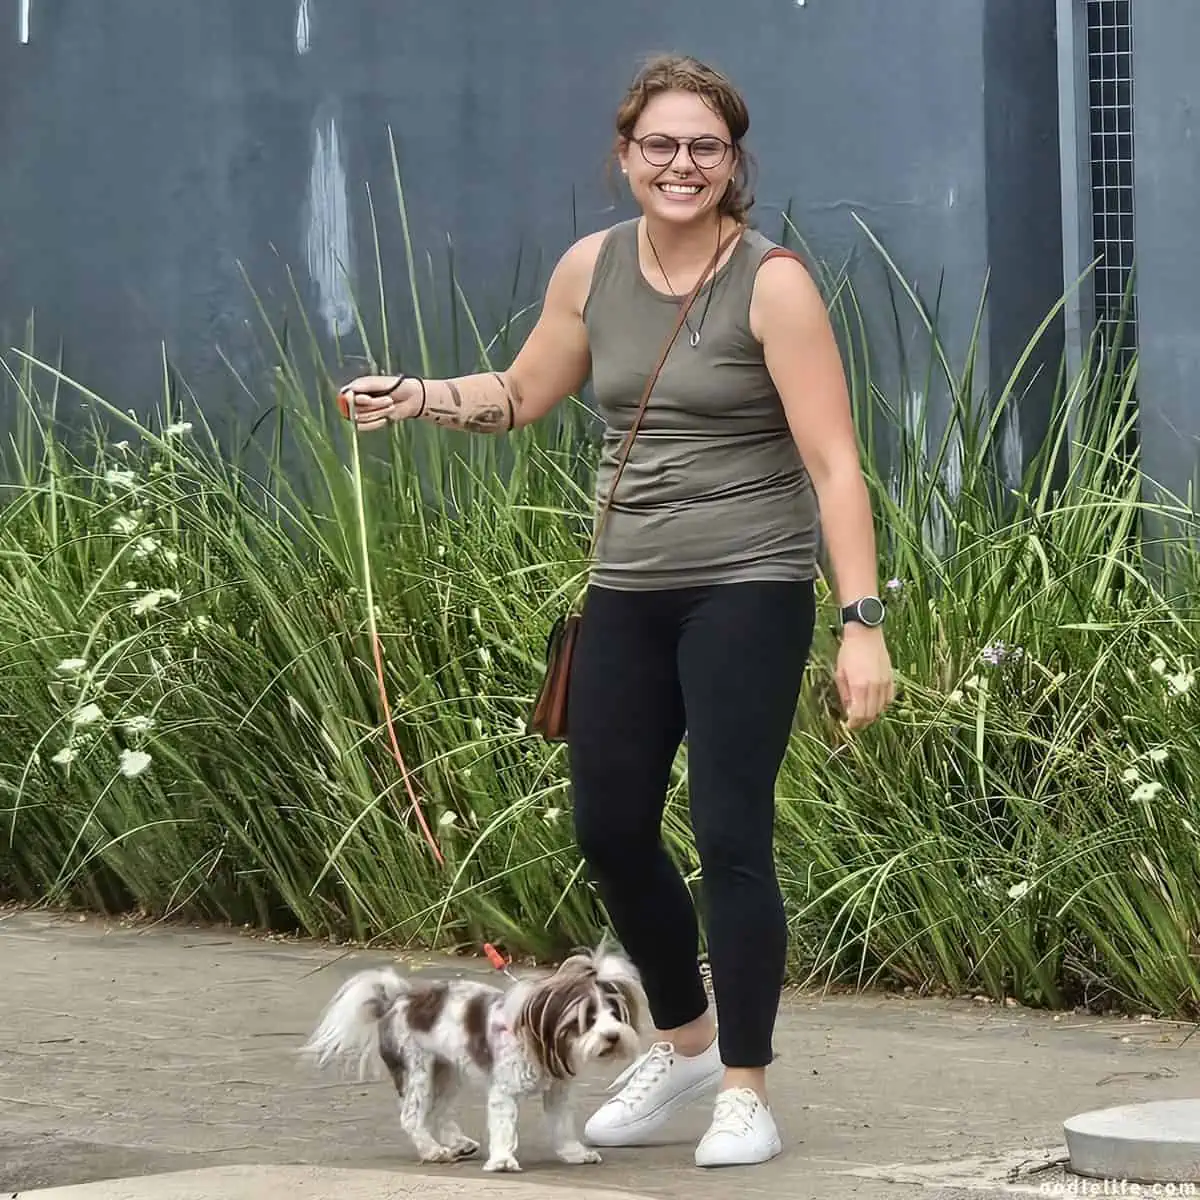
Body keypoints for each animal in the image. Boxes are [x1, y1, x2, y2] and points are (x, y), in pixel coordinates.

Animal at [307, 945, 648, 1171]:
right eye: (587, 1019)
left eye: (615, 1014)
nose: (613, 1036)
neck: (540, 1037)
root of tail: (395, 1001)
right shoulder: (504, 1092)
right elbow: (503, 1125)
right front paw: (503, 1160)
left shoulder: (558, 1092)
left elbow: (562, 1126)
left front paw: (574, 1153)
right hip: (418, 1071)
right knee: (412, 1117)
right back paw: (433, 1151)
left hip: (447, 1071)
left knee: (438, 1111)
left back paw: (457, 1143)